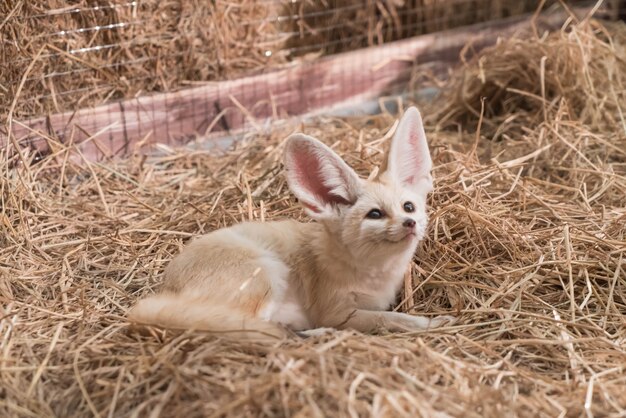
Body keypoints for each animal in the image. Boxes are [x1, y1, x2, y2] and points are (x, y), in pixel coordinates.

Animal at [128, 108, 448, 340]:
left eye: (408, 207)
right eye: (375, 214)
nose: (410, 223)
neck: (374, 272)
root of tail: (162, 290)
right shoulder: (338, 312)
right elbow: (393, 318)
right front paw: (432, 323)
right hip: (268, 274)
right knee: (255, 326)